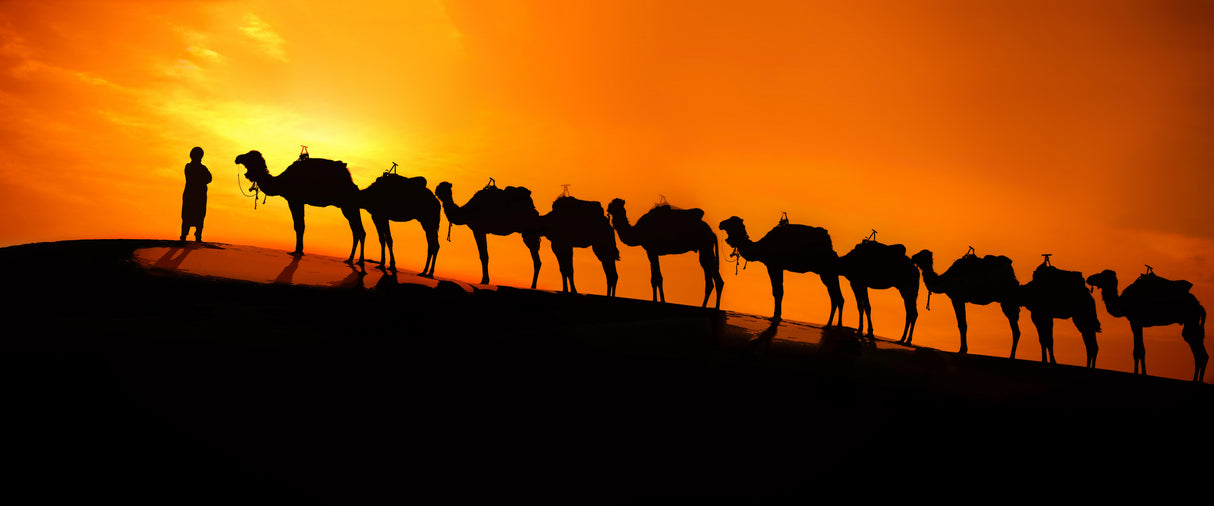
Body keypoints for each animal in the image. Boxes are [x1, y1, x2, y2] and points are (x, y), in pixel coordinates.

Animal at [235, 150, 366, 264]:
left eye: (249, 156)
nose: (237, 157)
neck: (281, 182)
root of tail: (353, 184)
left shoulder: (294, 200)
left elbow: (298, 226)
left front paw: (297, 251)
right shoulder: (299, 202)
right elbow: (301, 226)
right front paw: (299, 250)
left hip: (348, 205)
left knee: (359, 231)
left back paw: (359, 261)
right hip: (348, 206)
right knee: (357, 231)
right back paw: (351, 259)